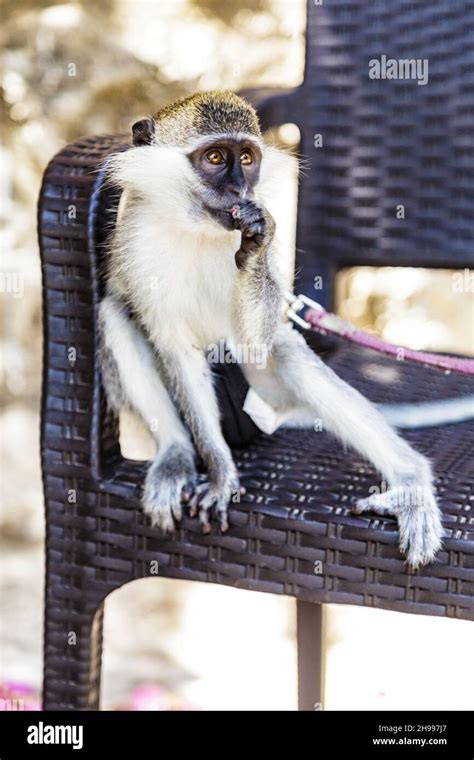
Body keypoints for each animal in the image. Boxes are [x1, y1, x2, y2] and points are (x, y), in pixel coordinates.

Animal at [100, 89, 444, 568]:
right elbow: (174, 347)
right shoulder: (134, 238)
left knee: (286, 350)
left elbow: (255, 343)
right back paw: (176, 455)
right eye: (215, 157)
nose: (240, 190)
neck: (195, 227)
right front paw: (223, 476)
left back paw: (410, 484)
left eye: (246, 158)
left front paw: (257, 242)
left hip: (263, 397)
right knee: (116, 313)